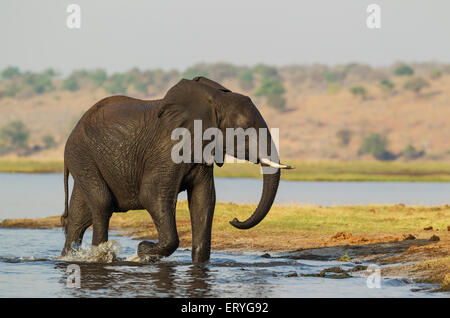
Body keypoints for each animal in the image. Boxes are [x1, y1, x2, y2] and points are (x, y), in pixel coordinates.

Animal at [60, 76, 292, 262]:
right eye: (245, 130)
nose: (234, 219)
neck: (214, 101)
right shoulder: (168, 148)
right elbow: (152, 194)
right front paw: (143, 250)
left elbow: (203, 199)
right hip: (81, 154)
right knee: (102, 204)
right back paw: (101, 257)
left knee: (80, 216)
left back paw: (69, 257)